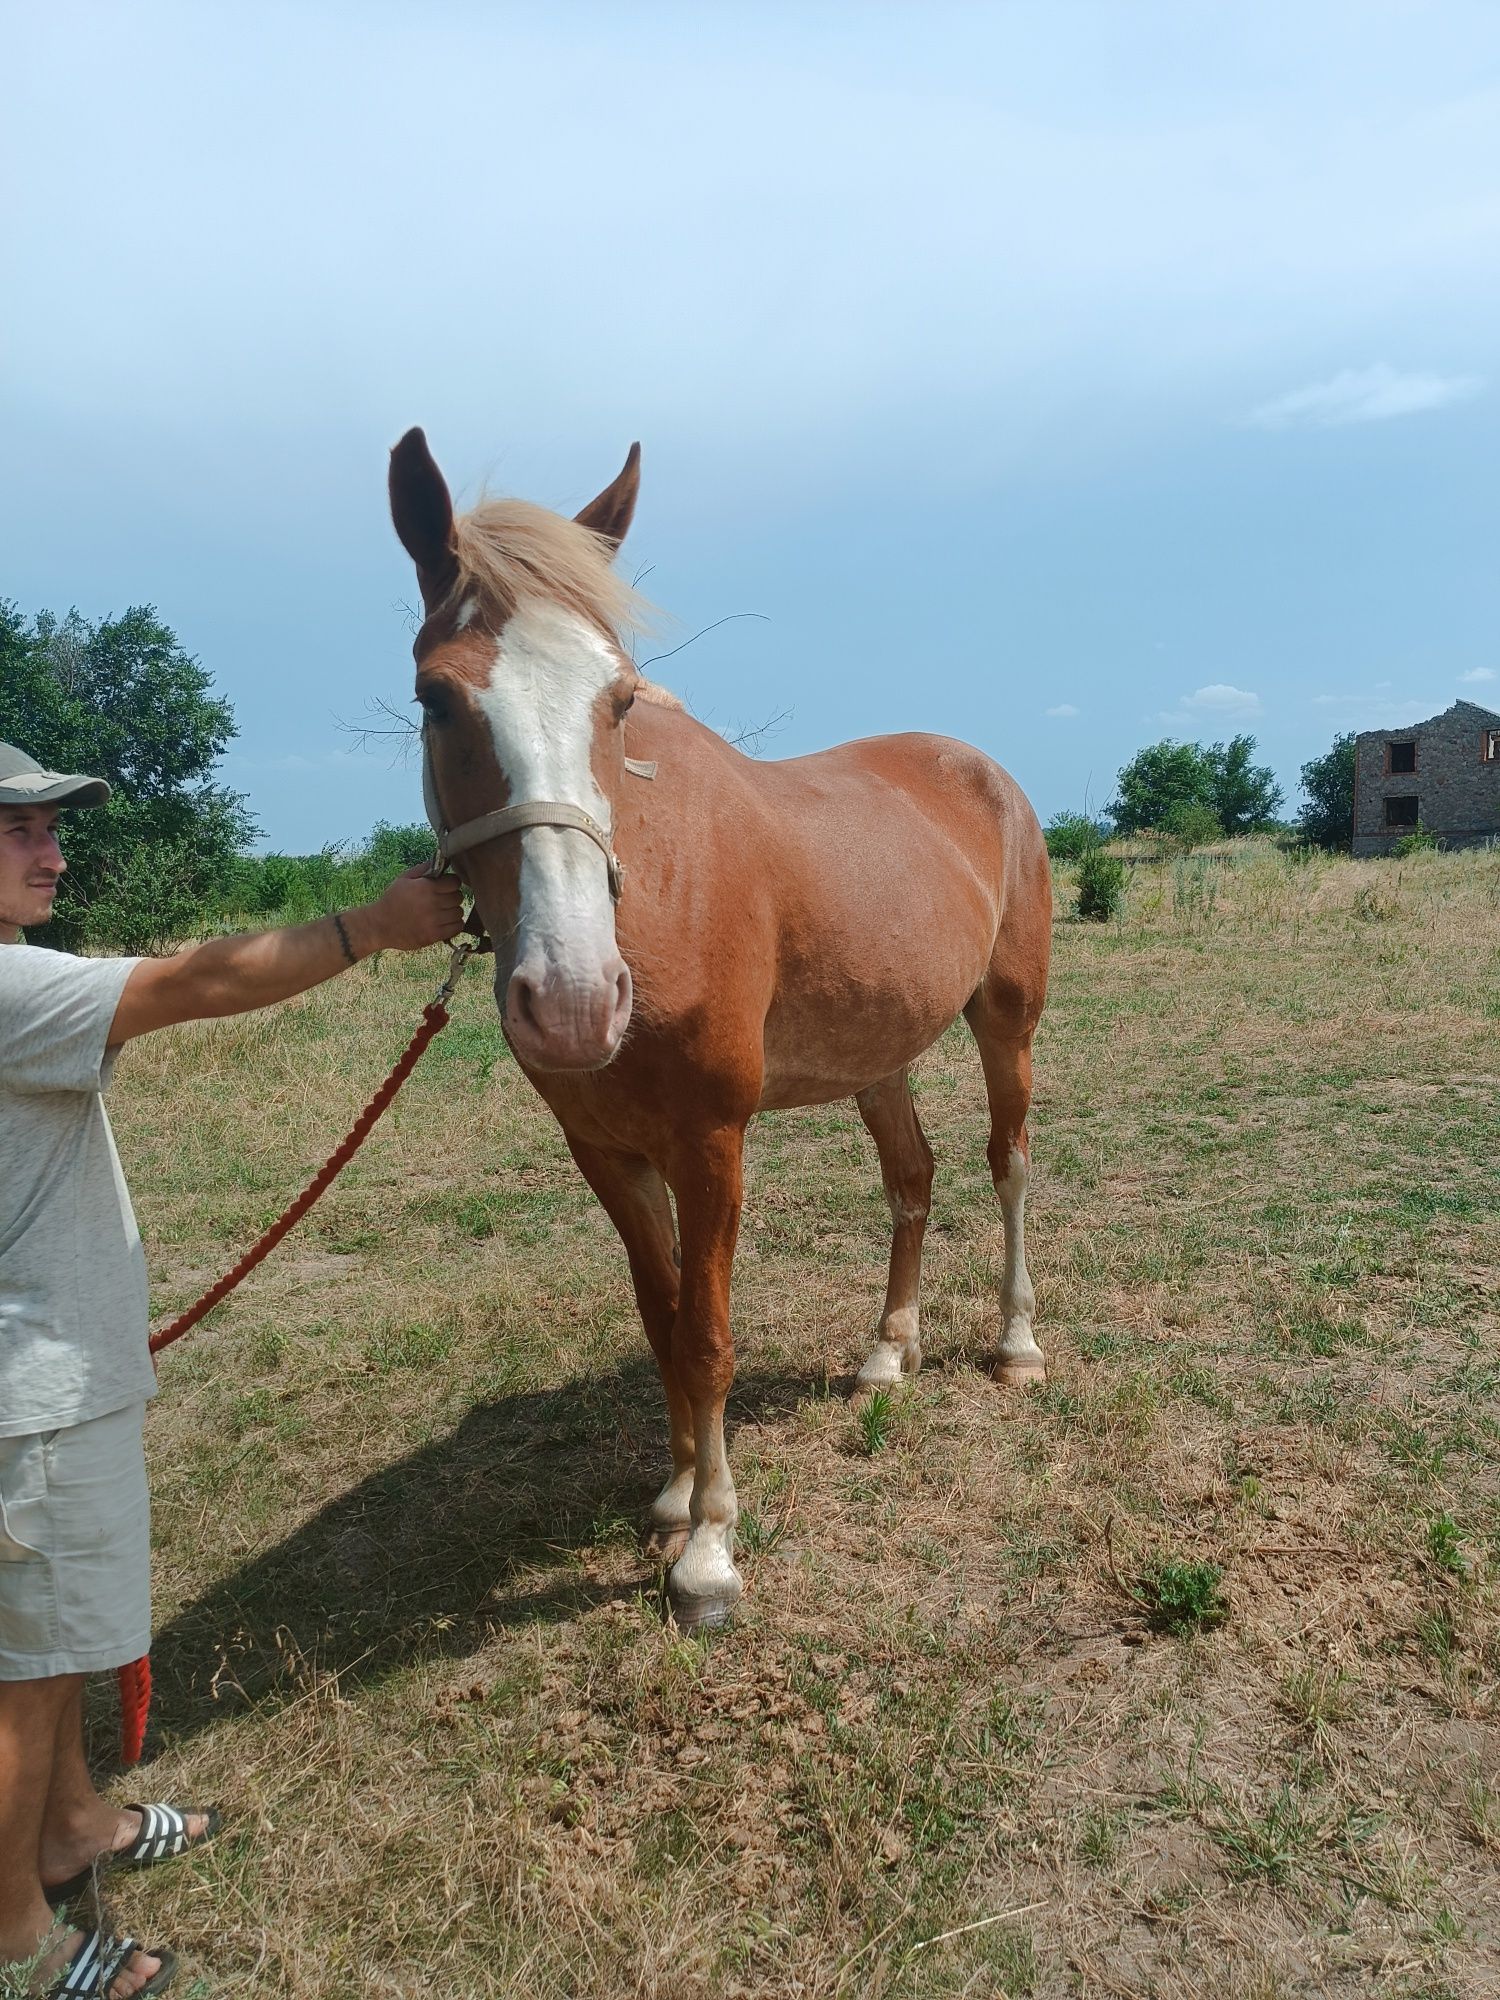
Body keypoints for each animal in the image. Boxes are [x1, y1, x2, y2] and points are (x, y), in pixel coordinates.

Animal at [394, 430, 1048, 1632]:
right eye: (436, 698)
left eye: (619, 700)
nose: (572, 999)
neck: (654, 895)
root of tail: (985, 773)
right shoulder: (606, 1151)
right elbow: (660, 1324)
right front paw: (674, 1494)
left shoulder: (710, 1142)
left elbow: (705, 1334)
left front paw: (707, 1551)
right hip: (878, 1057)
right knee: (913, 1177)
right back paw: (889, 1351)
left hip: (1007, 1021)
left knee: (1008, 1163)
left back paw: (1016, 1343)